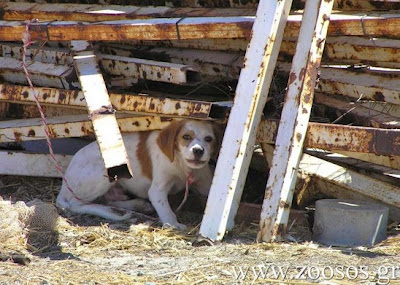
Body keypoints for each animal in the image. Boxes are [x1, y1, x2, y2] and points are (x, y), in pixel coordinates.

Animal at [55, 118, 222, 230]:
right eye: (186, 137)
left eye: (208, 139)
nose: (198, 151)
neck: (183, 167)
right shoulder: (157, 190)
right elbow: (166, 210)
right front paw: (173, 224)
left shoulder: (205, 183)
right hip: (105, 174)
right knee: (76, 202)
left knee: (109, 200)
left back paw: (138, 204)